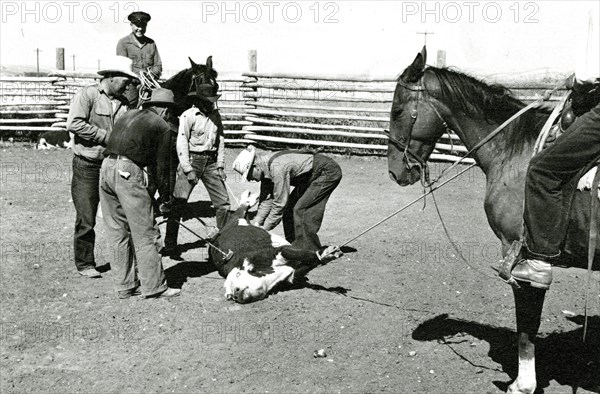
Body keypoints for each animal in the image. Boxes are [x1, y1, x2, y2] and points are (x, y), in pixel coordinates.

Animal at [210, 192, 342, 304]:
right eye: (230, 296)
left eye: (238, 275)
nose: (236, 294)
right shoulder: (292, 275)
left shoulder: (275, 252)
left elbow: (298, 253)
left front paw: (327, 253)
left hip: (237, 218)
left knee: (242, 208)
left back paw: (251, 197)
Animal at [386, 47, 596, 394]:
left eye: (398, 111)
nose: (395, 172)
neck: (515, 151)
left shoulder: (519, 255)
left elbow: (526, 324)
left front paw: (523, 384)